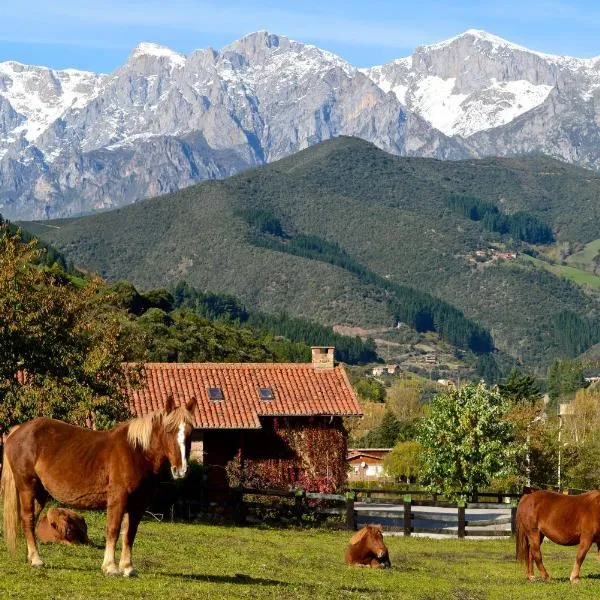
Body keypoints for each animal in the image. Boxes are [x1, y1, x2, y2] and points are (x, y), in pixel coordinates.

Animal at [0, 394, 195, 576]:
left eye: (190, 433)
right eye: (169, 430)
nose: (181, 470)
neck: (137, 452)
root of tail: (18, 431)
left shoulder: (138, 504)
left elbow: (130, 533)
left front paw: (127, 568)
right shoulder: (118, 498)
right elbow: (113, 530)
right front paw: (110, 567)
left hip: (40, 493)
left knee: (31, 520)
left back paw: (31, 557)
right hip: (27, 487)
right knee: (27, 519)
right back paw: (36, 559)